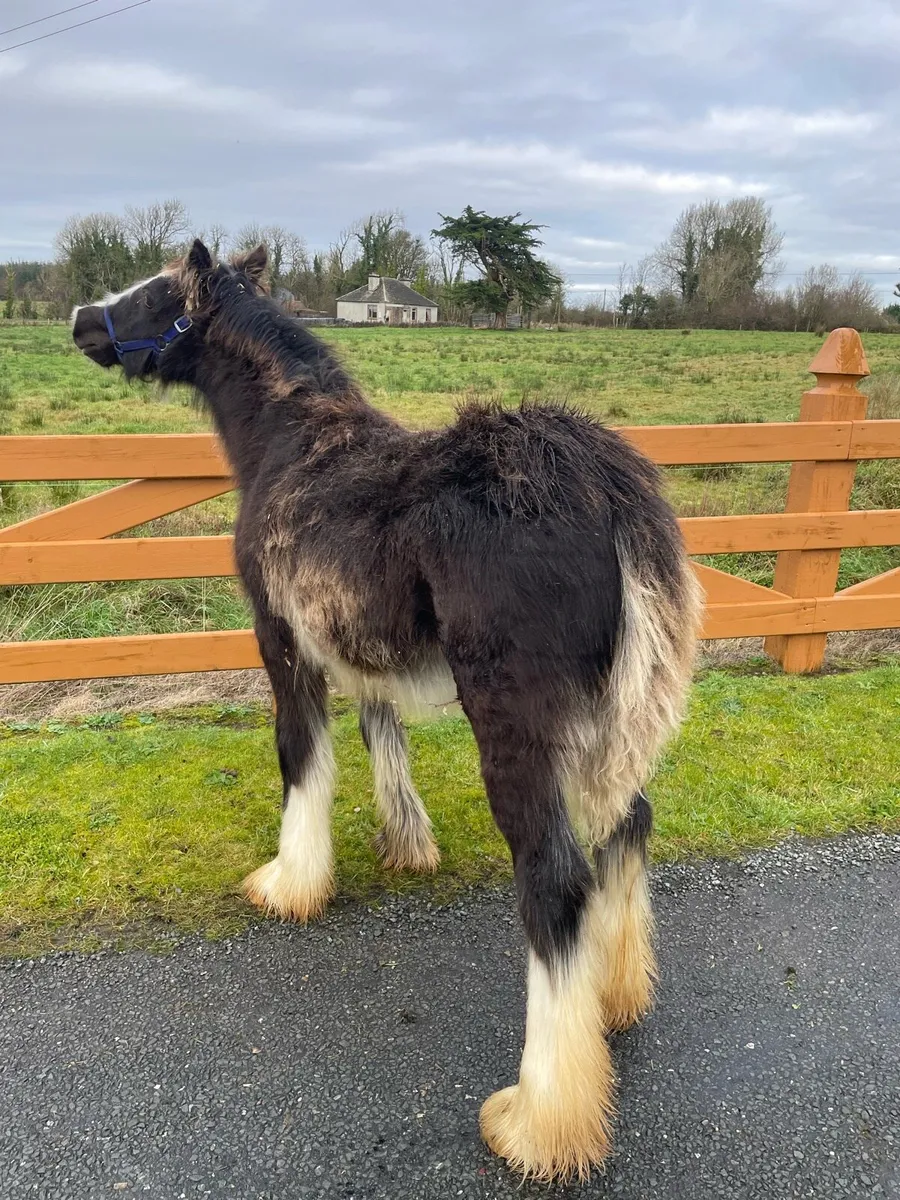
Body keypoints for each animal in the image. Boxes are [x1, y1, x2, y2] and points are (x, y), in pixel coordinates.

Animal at [72, 240, 703, 1182]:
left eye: (156, 294)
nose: (81, 321)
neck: (290, 443)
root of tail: (609, 491)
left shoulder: (284, 644)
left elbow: (301, 760)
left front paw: (291, 882)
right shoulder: (362, 651)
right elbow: (382, 736)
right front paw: (406, 844)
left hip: (516, 729)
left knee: (555, 881)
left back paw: (542, 1121)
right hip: (602, 725)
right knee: (628, 827)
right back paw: (614, 999)